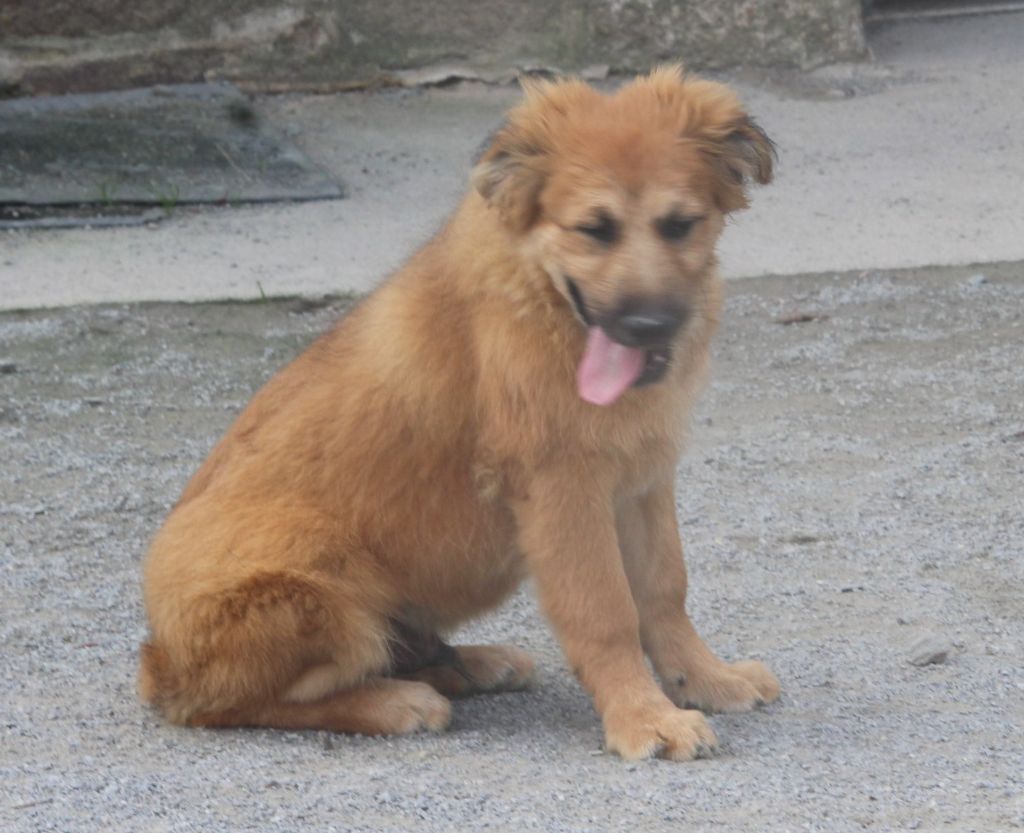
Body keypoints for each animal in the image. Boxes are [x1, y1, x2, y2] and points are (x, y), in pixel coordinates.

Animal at [136, 66, 774, 762]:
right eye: (594, 229)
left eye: (680, 224)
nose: (649, 327)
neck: (544, 295)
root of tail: (159, 659)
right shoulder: (563, 487)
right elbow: (606, 611)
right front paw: (643, 716)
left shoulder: (642, 479)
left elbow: (664, 589)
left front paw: (706, 680)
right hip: (314, 587)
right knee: (231, 704)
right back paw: (394, 702)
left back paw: (466, 663)